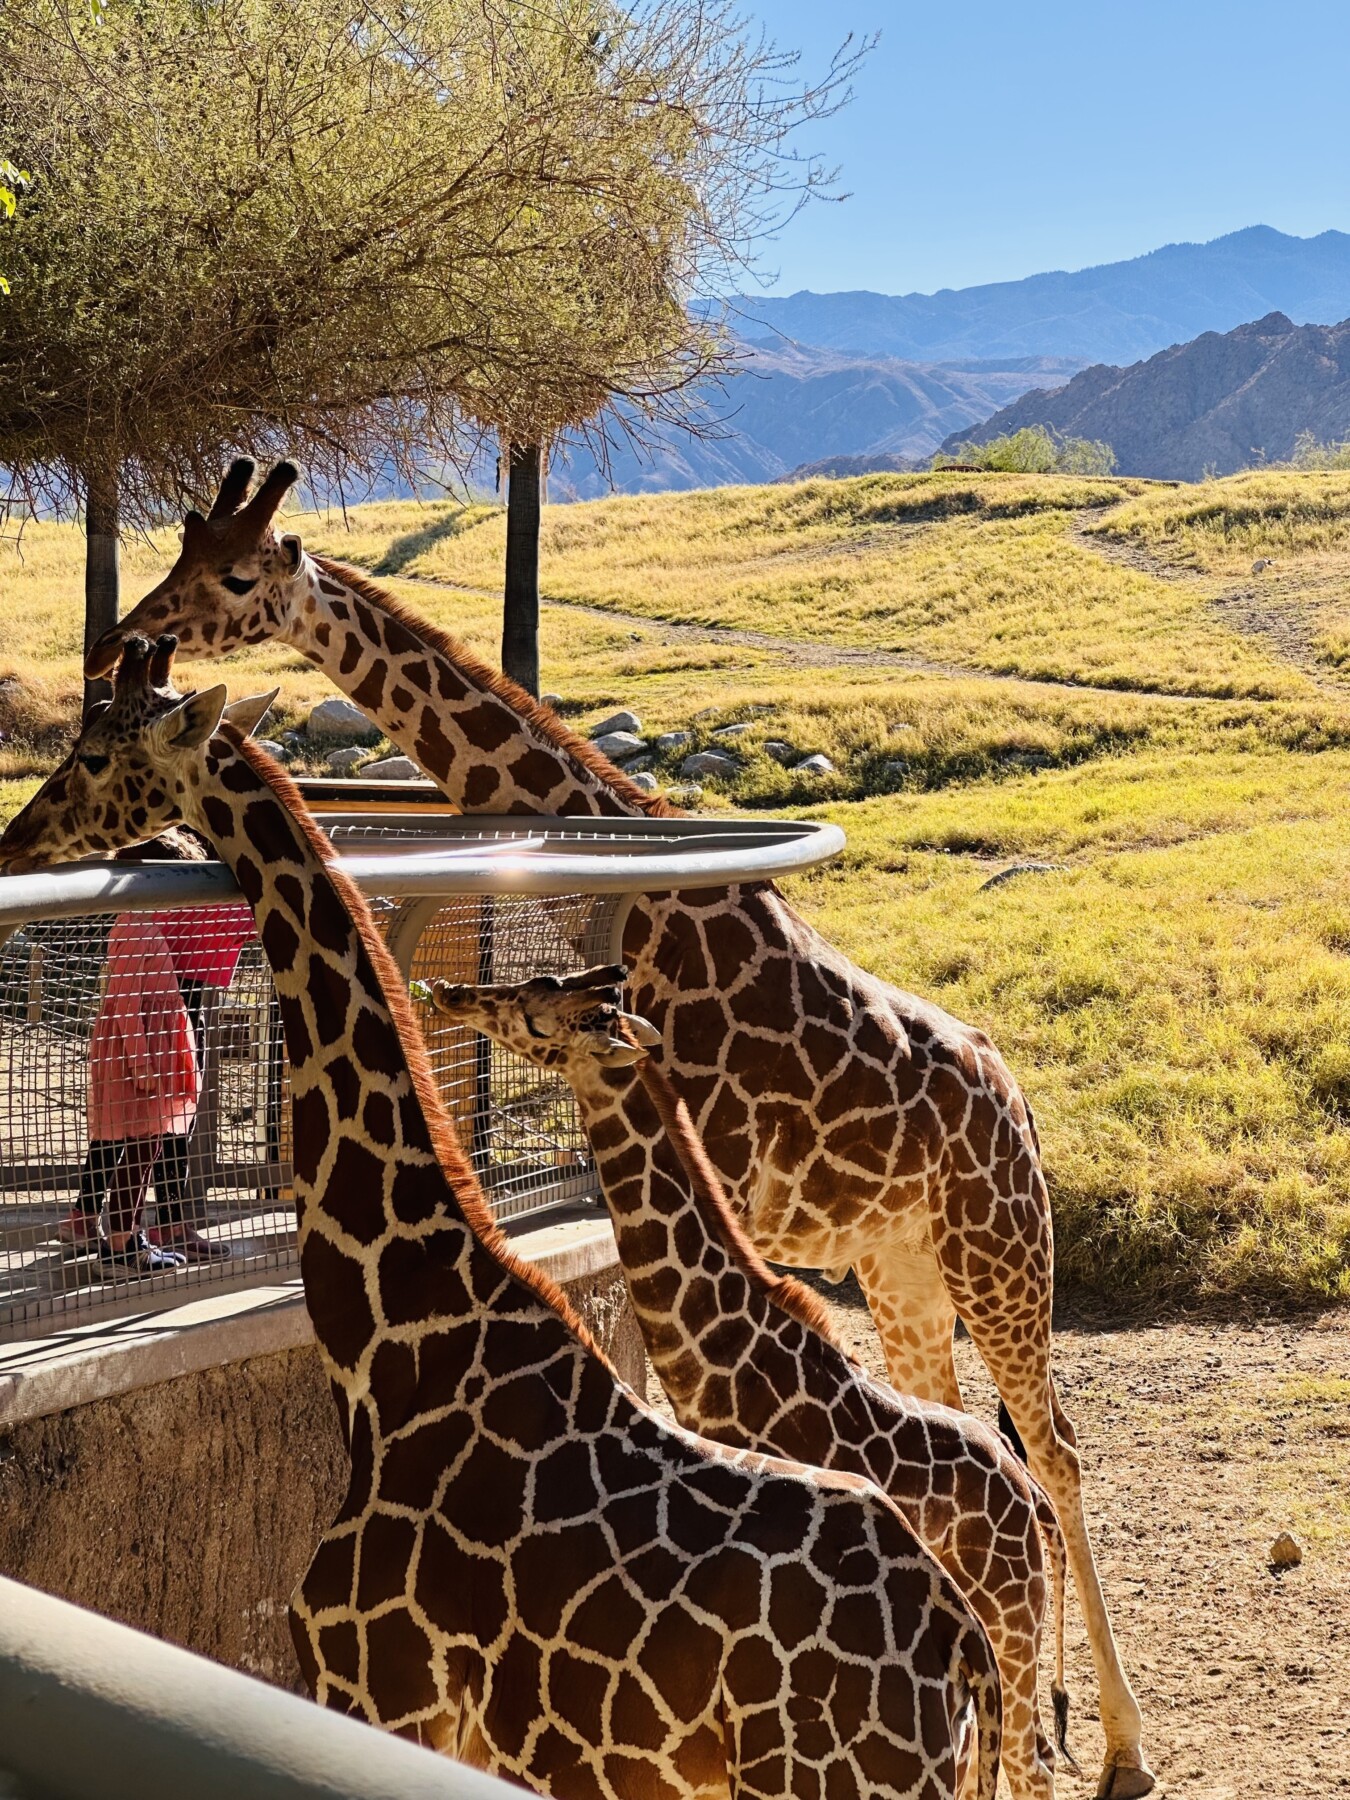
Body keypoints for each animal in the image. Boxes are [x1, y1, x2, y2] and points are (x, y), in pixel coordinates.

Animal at [0, 636, 1004, 1800]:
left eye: (95, 752)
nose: (16, 838)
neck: (391, 1344)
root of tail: (965, 1657)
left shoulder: (378, 1685)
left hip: (830, 1776)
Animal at [431, 965, 1082, 1800]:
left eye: (540, 1012)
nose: (449, 992)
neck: (721, 1352)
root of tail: (1029, 1505)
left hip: (1007, 1626)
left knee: (1028, 1762)